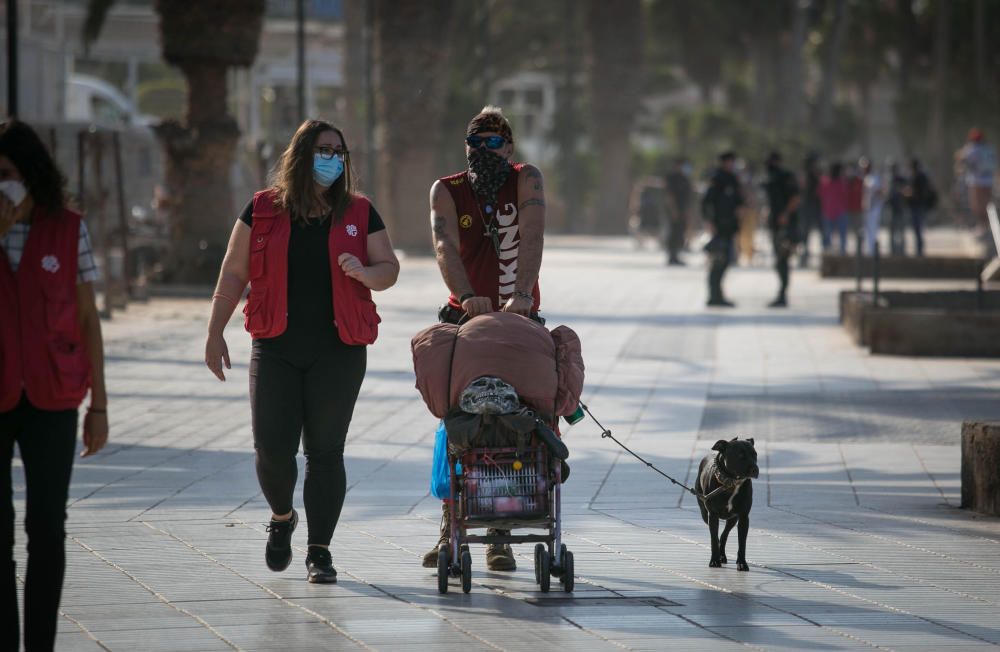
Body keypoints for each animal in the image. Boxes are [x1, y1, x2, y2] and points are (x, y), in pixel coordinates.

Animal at [696, 438, 756, 572]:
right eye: (740, 455)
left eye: (755, 455)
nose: (755, 469)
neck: (731, 483)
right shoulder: (712, 515)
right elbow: (713, 539)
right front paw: (714, 561)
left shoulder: (744, 517)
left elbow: (742, 543)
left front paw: (742, 563)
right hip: (705, 514)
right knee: (717, 535)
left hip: (733, 519)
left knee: (724, 535)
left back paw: (722, 555)